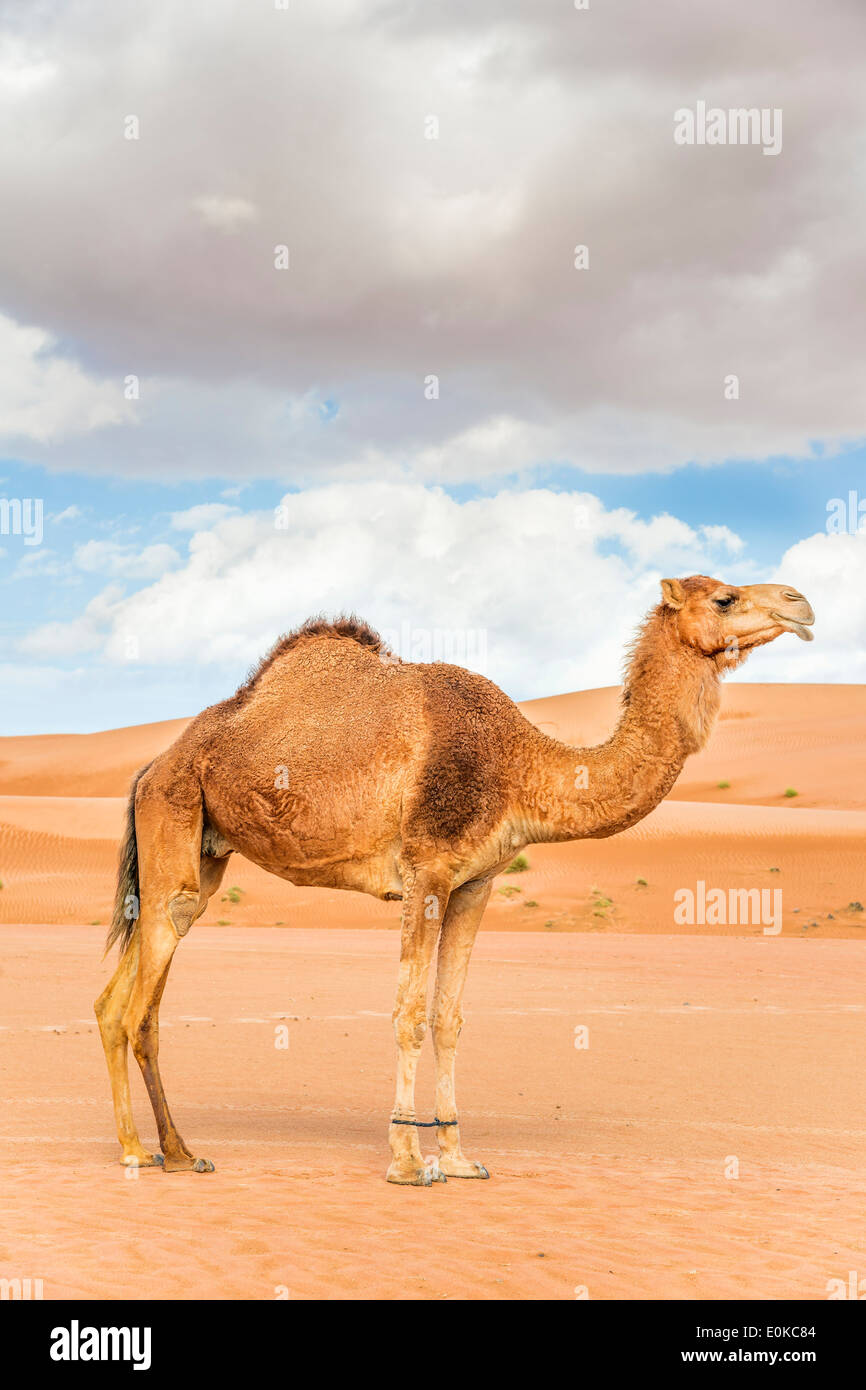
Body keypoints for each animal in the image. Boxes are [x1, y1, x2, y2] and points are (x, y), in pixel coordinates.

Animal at [97, 572, 817, 1184]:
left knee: (122, 998)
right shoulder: (427, 873)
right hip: (174, 814)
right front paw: (408, 1161)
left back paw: (170, 1150)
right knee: (142, 996)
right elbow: (409, 1013)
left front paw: (459, 1157)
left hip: (202, 849)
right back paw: (145, 1150)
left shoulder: (476, 882)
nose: (802, 604)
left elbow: (449, 1017)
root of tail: (150, 766)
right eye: (724, 598)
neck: (519, 765)